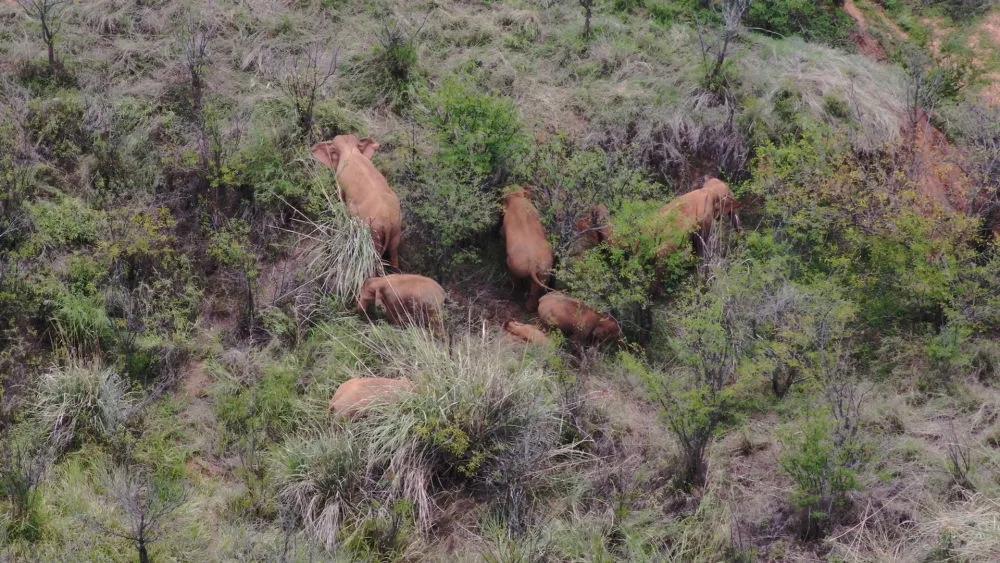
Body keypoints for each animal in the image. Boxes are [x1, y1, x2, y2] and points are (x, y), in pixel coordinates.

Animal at [314, 135, 404, 270]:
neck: (350, 151)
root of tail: (387, 221)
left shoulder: (340, 182)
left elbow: (342, 199)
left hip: (373, 234)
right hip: (396, 229)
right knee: (394, 252)